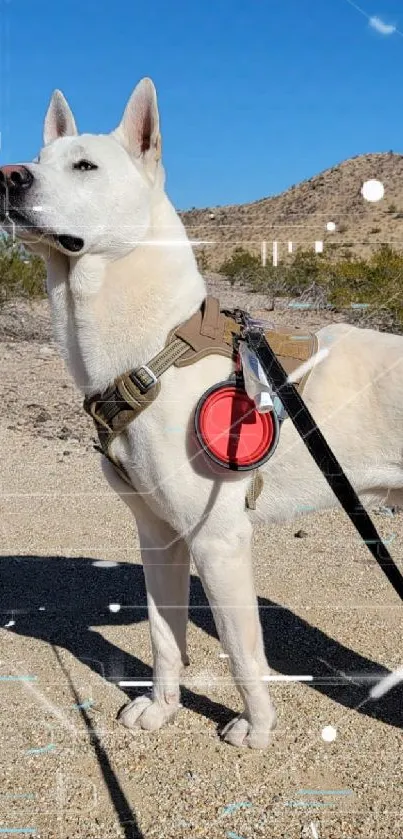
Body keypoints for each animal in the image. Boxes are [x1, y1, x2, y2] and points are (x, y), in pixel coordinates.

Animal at [1, 79, 402, 748]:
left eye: (85, 166)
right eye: (36, 158)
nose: (9, 176)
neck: (154, 349)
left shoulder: (219, 539)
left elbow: (242, 652)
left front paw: (256, 729)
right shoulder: (159, 534)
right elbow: (165, 639)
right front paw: (161, 710)